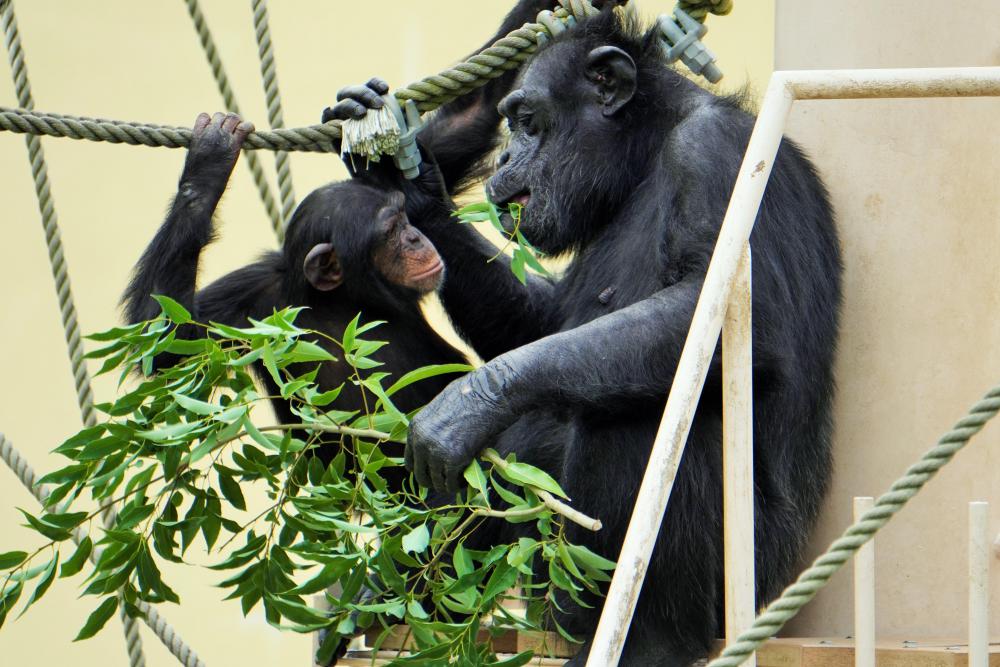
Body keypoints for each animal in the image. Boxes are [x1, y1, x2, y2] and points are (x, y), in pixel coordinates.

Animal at [378, 6, 840, 667]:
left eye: (526, 119)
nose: (504, 157)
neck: (646, 155)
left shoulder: (716, 156)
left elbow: (721, 311)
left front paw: (465, 406)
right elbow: (543, 324)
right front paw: (406, 179)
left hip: (747, 580)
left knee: (635, 414)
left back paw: (647, 641)